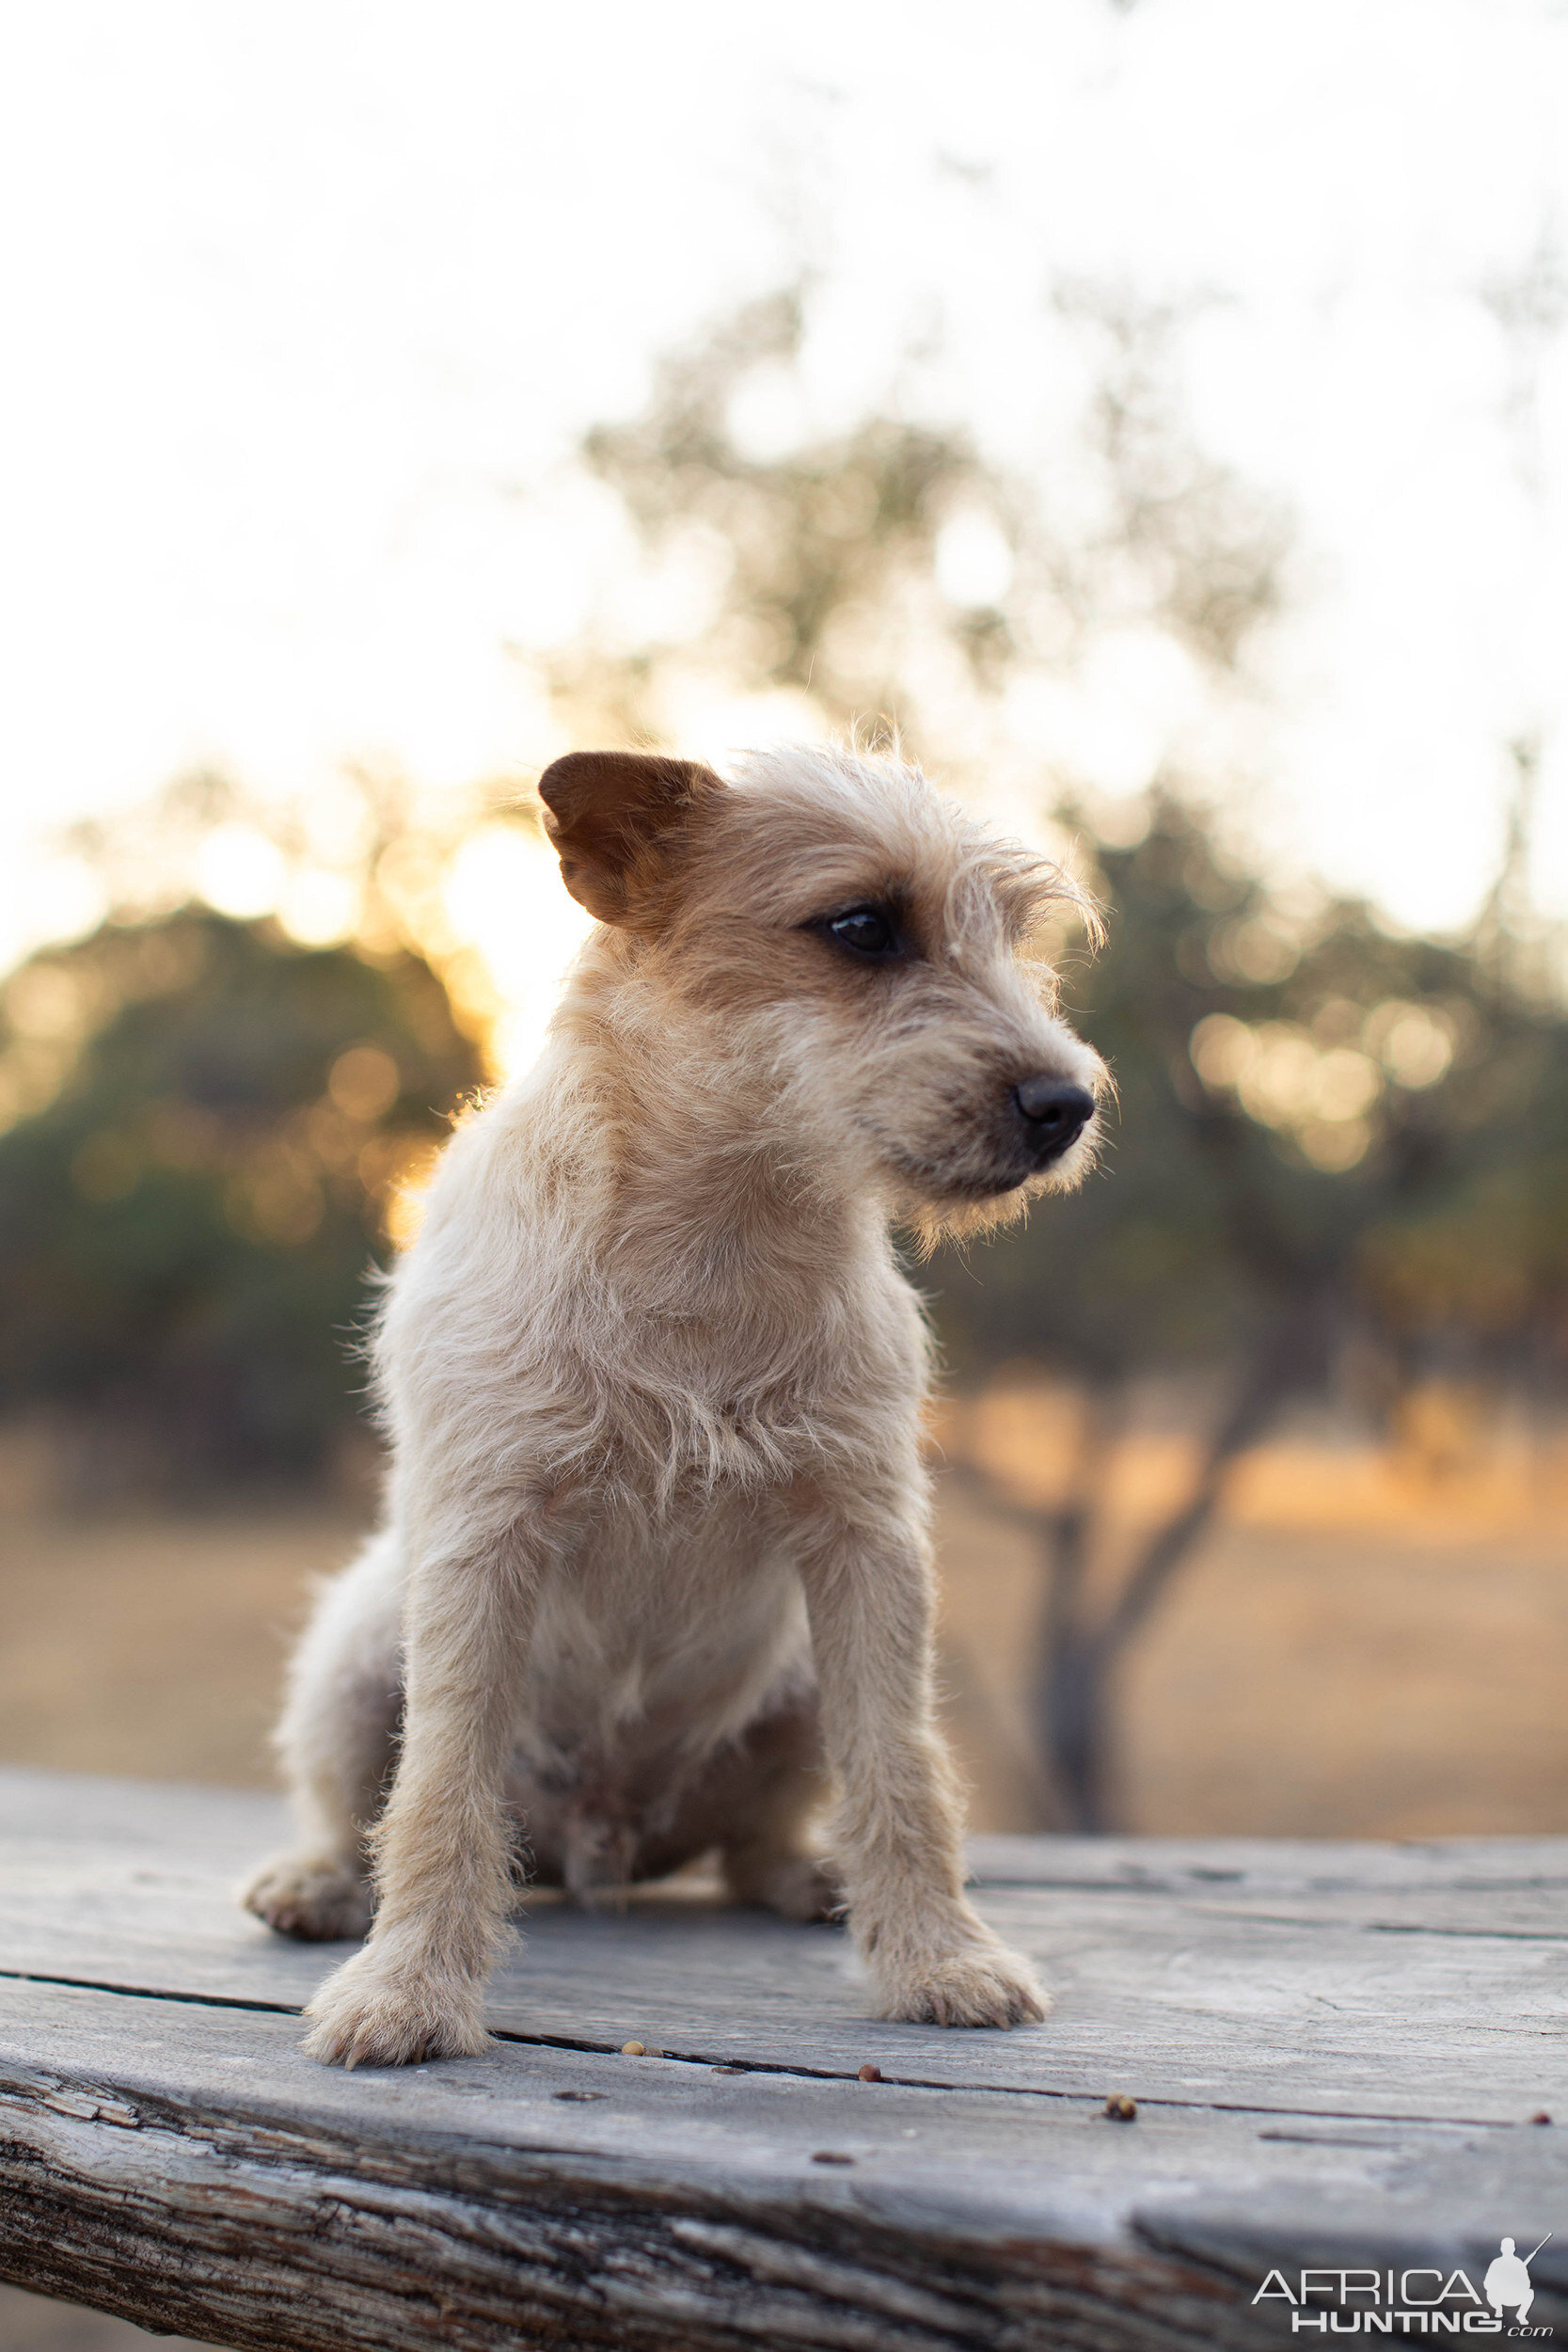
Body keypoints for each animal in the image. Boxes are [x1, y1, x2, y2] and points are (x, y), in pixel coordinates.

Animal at [242, 748, 1104, 2060]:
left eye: (1011, 934)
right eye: (862, 926)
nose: (1068, 1104)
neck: (716, 1235)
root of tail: (600, 1839)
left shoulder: (865, 1543)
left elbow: (902, 1767)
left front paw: (940, 1958)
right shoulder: (484, 1542)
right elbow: (438, 1784)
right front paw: (406, 1992)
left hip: (792, 1680)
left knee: (758, 1840)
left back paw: (816, 1880)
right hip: (351, 1659)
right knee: (355, 1808)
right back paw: (318, 1885)